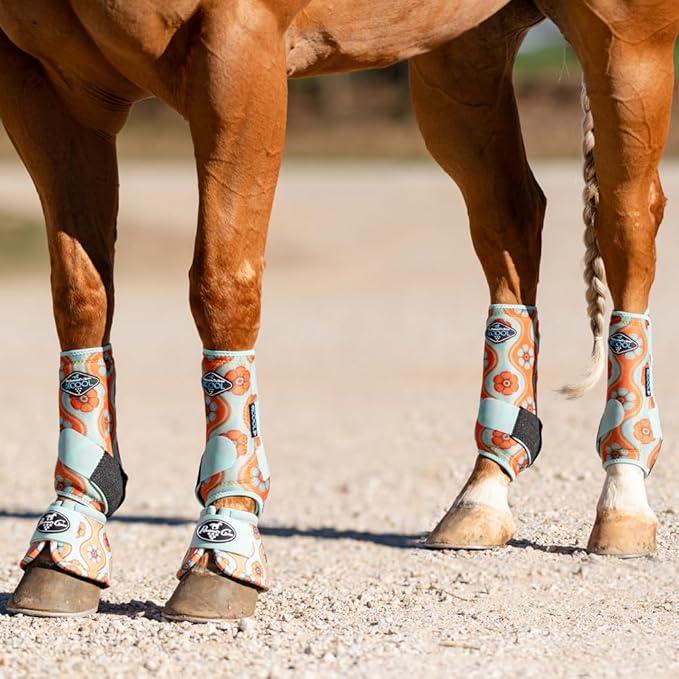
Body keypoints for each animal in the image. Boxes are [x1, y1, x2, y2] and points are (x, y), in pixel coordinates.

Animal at [0, 0, 677, 622]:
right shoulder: (44, 84)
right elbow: (81, 297)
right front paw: (65, 544)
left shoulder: (239, 56)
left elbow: (222, 283)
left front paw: (225, 549)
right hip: (460, 55)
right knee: (510, 216)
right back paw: (483, 495)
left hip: (628, 44)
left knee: (627, 223)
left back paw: (624, 497)